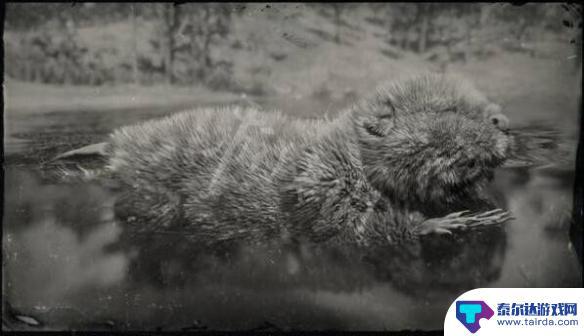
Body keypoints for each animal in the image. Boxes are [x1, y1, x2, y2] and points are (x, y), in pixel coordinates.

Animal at [51, 72, 512, 249]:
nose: (503, 121)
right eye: (450, 110)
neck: (349, 148)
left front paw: (477, 207)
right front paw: (448, 222)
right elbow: (350, 227)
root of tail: (118, 147)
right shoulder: (321, 181)